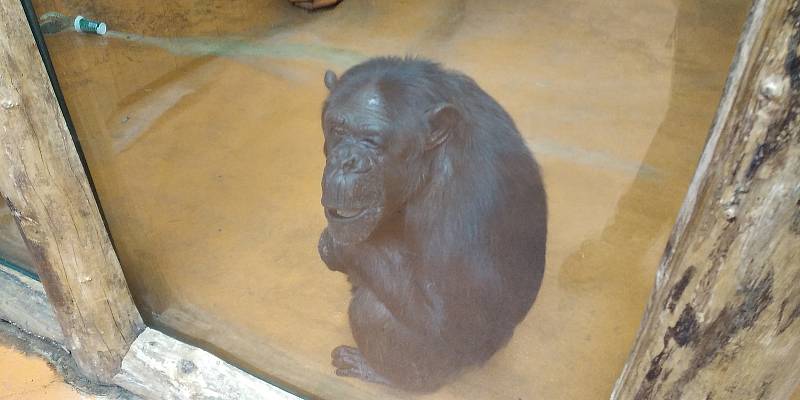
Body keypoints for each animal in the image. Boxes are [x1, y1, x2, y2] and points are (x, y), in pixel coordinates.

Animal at [316, 56, 548, 390]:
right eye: (337, 129)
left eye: (372, 141)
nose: (347, 161)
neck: (433, 155)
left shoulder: (462, 199)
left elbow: (448, 318)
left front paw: (335, 246)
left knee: (371, 310)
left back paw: (380, 372)